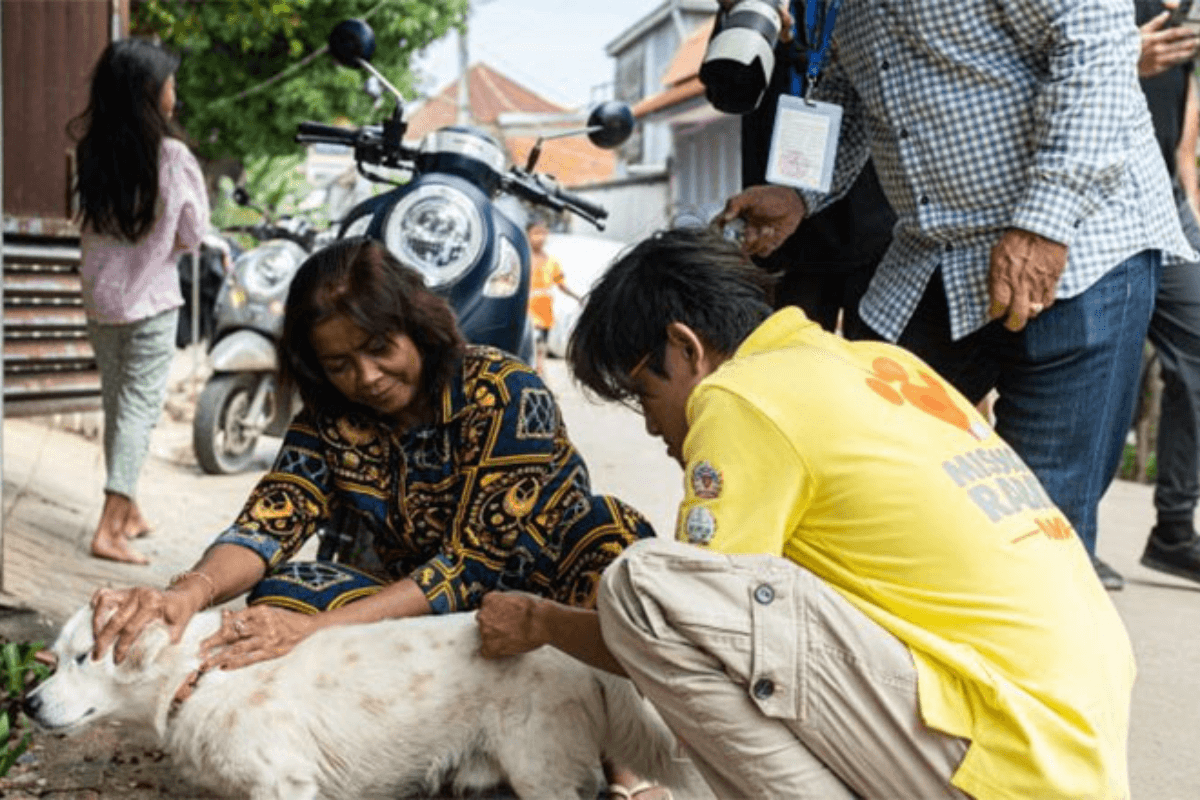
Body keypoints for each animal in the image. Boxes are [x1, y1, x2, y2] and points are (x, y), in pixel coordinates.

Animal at [23, 606, 700, 800]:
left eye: (84, 656)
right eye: (55, 656)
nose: (26, 703)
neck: (200, 675)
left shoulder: (285, 786)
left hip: (542, 772)